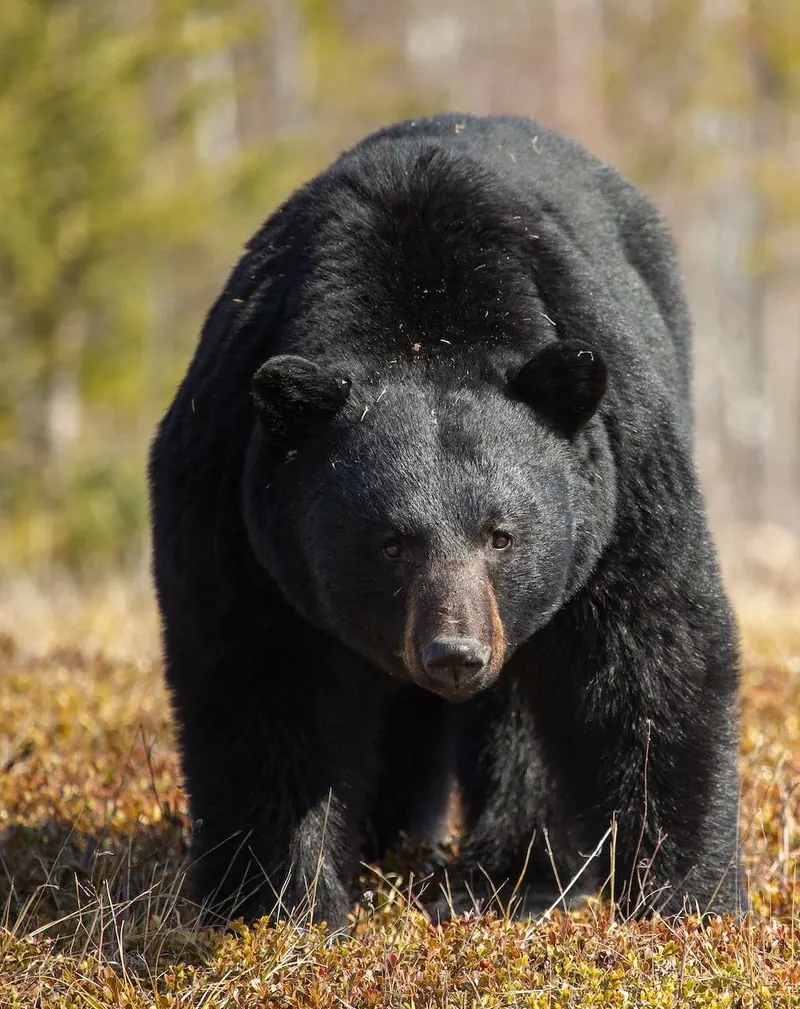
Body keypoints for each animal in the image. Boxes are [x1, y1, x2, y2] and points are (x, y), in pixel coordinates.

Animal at [148, 113, 746, 931]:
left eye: (502, 535)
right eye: (391, 543)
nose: (454, 653)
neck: (423, 322)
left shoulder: (625, 473)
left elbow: (651, 659)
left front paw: (687, 902)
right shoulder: (230, 502)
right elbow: (260, 686)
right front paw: (277, 905)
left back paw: (514, 871)